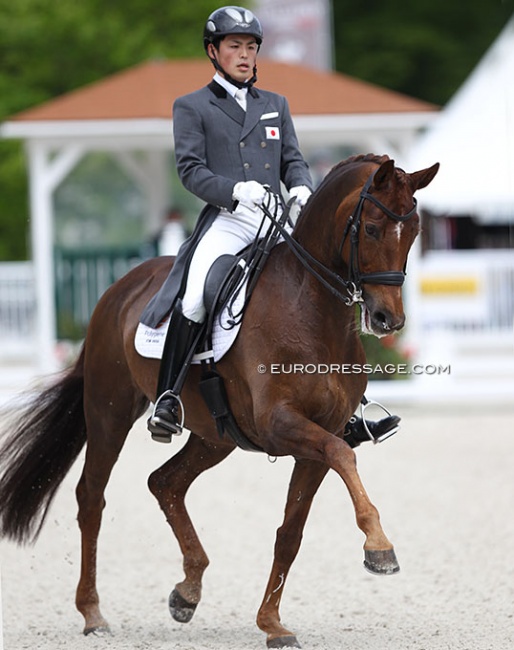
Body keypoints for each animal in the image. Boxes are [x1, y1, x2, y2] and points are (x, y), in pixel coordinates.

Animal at [0, 154, 438, 644]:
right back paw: (93, 613)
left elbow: (291, 532)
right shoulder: (281, 425)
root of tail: (119, 288)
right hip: (108, 411)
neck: (311, 310)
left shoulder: (315, 439)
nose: (387, 320)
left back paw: (187, 591)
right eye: (374, 228)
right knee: (91, 497)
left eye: (415, 231)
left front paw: (272, 623)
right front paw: (379, 547)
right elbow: (344, 455)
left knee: (165, 483)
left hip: (215, 436)